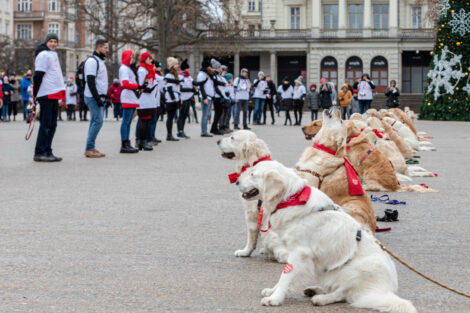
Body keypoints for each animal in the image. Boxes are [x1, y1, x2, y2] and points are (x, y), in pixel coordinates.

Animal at [237, 161, 416, 312]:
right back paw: (315, 290)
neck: (291, 198)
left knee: (342, 293)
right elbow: (285, 276)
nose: (236, 182)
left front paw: (275, 298)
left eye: (252, 173)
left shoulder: (299, 253)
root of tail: (387, 290)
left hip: (358, 268)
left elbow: (285, 276)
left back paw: (321, 299)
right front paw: (273, 291)